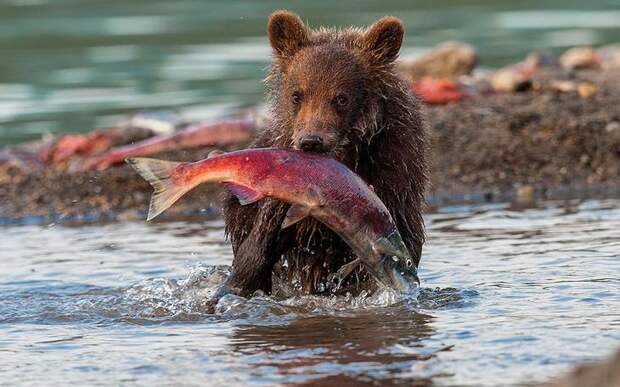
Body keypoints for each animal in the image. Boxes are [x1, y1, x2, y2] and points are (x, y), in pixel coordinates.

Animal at [220, 11, 428, 298]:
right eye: (297, 95)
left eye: (341, 98)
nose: (311, 141)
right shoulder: (279, 191)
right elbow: (257, 248)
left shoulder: (394, 171)